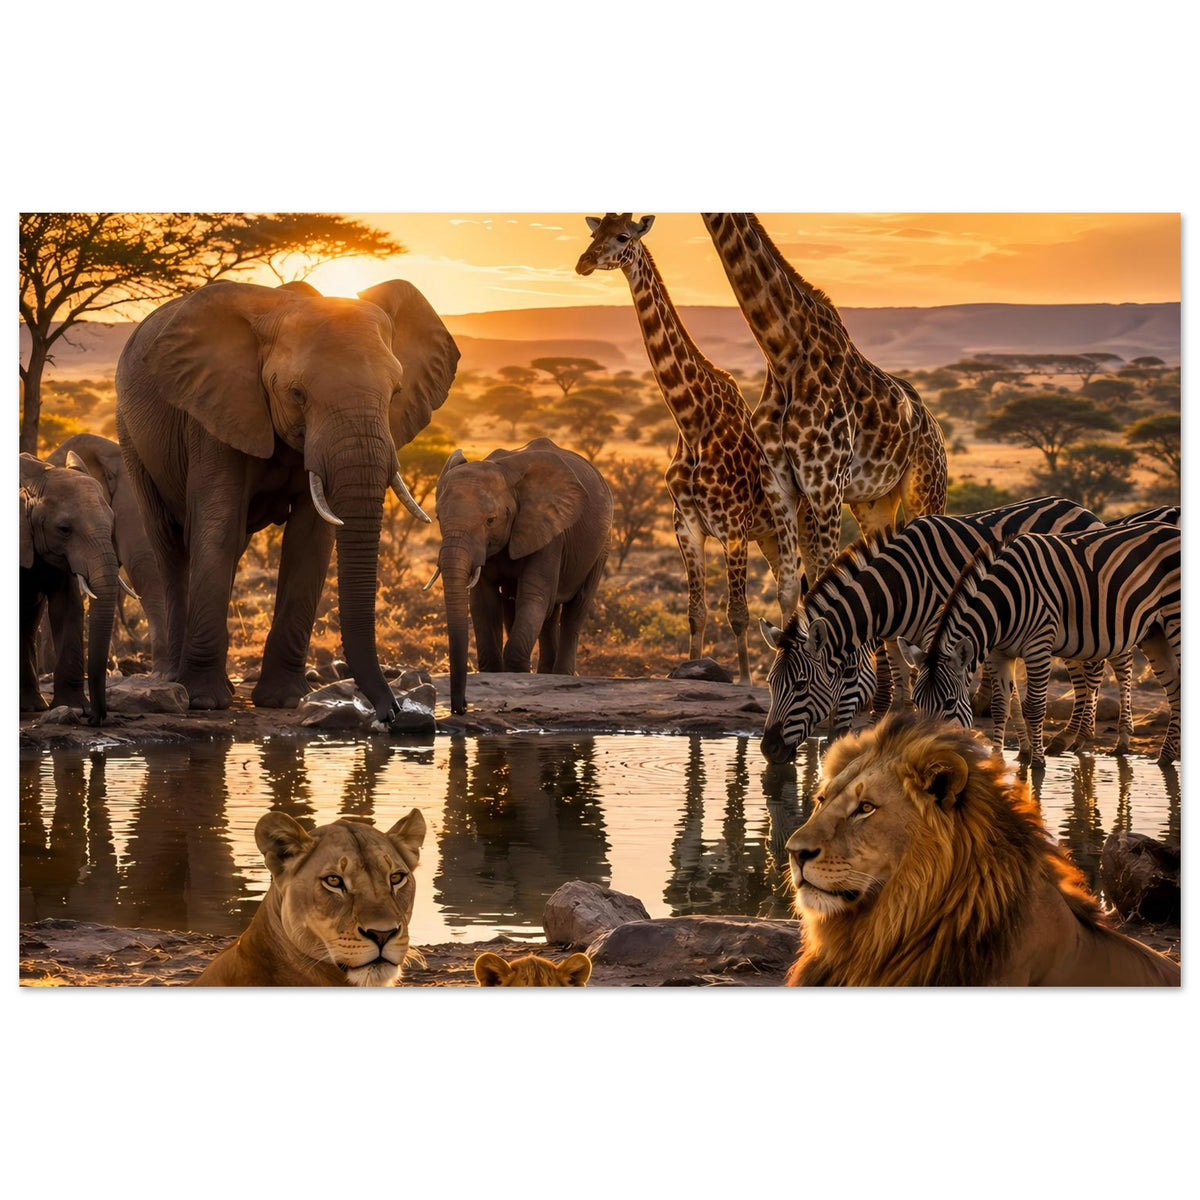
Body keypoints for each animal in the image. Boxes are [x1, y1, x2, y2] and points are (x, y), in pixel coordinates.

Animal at [758, 496, 1103, 763]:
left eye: (801, 685)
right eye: (771, 683)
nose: (768, 749)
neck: (898, 587)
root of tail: (1080, 507)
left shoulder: (939, 633)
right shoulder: (898, 639)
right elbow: (903, 695)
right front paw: (1026, 750)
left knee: (1093, 670)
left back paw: (1077, 738)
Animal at [908, 521, 1181, 766]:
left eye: (949, 703)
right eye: (915, 702)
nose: (924, 755)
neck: (1002, 604)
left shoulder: (1038, 646)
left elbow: (1035, 707)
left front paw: (1037, 763)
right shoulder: (998, 653)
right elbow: (1000, 706)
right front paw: (998, 760)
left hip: (1173, 620)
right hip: (1154, 632)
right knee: (1174, 686)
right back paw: (1166, 757)